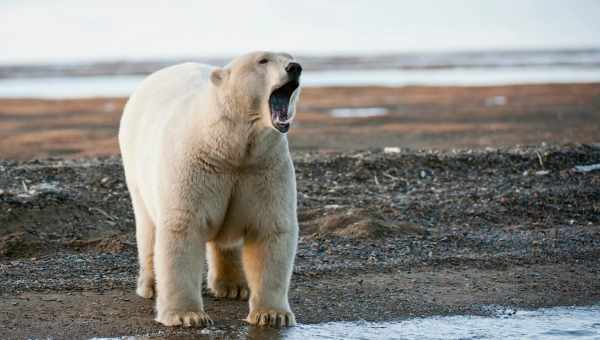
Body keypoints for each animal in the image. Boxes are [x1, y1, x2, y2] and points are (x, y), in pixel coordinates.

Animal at [119, 51, 302, 328]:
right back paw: (151, 285)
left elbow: (271, 228)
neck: (229, 147)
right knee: (148, 228)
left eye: (289, 56)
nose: (294, 67)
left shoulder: (263, 168)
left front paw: (273, 314)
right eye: (263, 60)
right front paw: (187, 316)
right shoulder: (195, 166)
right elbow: (182, 227)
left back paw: (233, 286)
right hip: (136, 171)